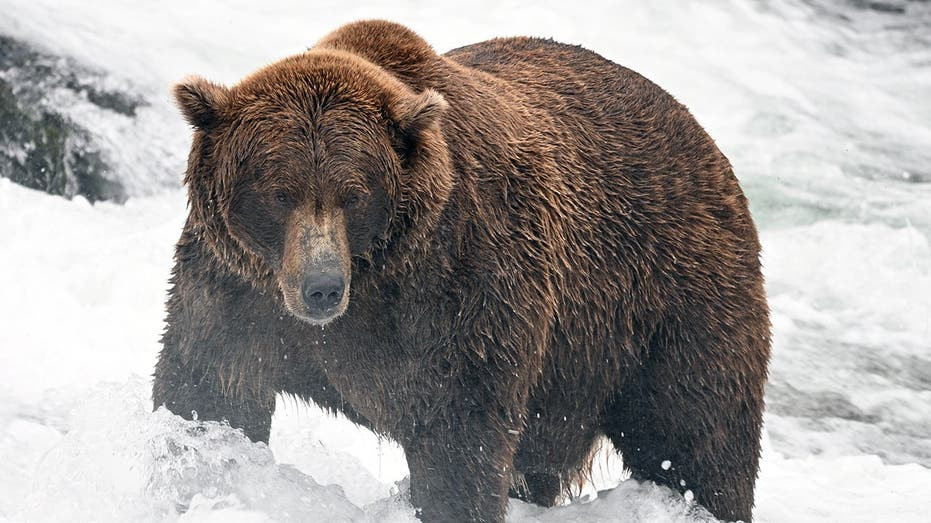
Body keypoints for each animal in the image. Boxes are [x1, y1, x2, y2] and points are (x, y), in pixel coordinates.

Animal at [153, 20, 771, 523]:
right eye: (279, 192)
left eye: (354, 194)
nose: (321, 289)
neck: (375, 278)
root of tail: (704, 140)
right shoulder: (236, 290)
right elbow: (209, 390)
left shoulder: (460, 290)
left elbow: (458, 439)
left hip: (665, 305)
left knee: (697, 439)